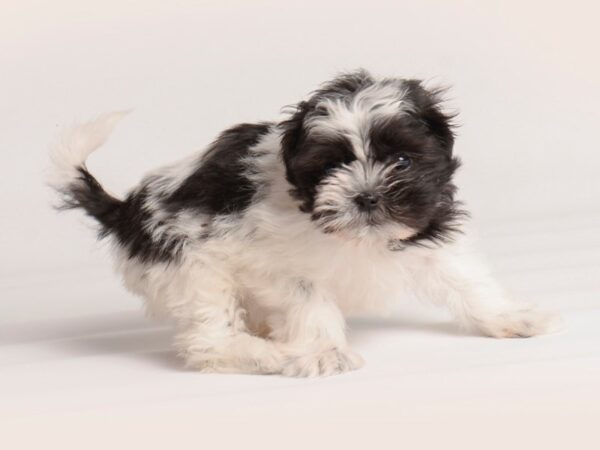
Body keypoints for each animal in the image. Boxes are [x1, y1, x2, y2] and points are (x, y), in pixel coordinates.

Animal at [49, 69, 560, 376]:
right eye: (330, 166)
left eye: (402, 159)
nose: (366, 196)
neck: (353, 237)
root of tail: (124, 210)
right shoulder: (273, 262)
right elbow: (309, 301)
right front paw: (322, 352)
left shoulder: (425, 230)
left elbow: (466, 280)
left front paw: (509, 318)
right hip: (191, 269)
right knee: (209, 337)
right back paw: (263, 354)